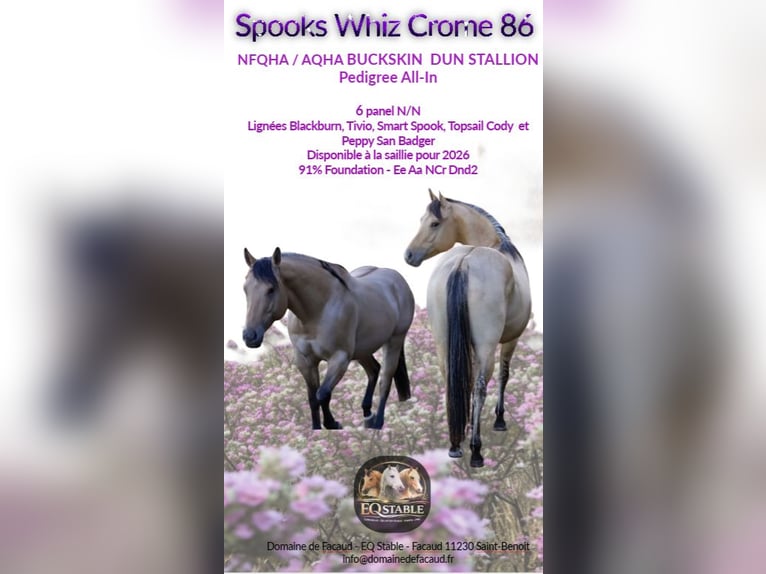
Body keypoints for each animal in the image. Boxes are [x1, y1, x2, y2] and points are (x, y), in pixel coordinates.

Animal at [242, 247, 415, 430]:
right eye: (245, 289)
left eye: (271, 289)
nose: (249, 336)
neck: (319, 309)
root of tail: (397, 280)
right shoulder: (305, 361)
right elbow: (312, 399)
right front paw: (317, 427)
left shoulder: (339, 359)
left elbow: (322, 394)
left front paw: (332, 423)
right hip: (362, 350)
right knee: (374, 370)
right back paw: (368, 416)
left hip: (394, 341)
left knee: (385, 380)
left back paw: (378, 423)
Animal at [404, 190, 532, 467]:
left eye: (433, 223)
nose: (408, 255)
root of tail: (463, 262)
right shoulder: (511, 340)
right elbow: (504, 375)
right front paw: (499, 421)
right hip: (486, 347)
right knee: (482, 386)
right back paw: (475, 450)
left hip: (444, 342)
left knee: (452, 380)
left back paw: (455, 444)